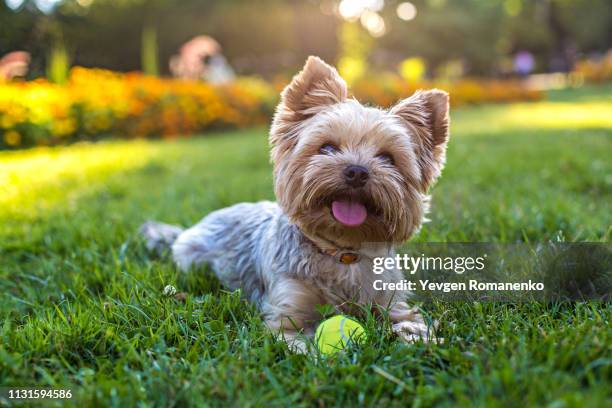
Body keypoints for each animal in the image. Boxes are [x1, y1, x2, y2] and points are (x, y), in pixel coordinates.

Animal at [142, 55, 450, 352]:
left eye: (388, 158)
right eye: (327, 147)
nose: (357, 171)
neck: (342, 252)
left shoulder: (391, 302)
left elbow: (409, 321)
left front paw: (420, 340)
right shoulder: (288, 313)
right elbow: (303, 343)